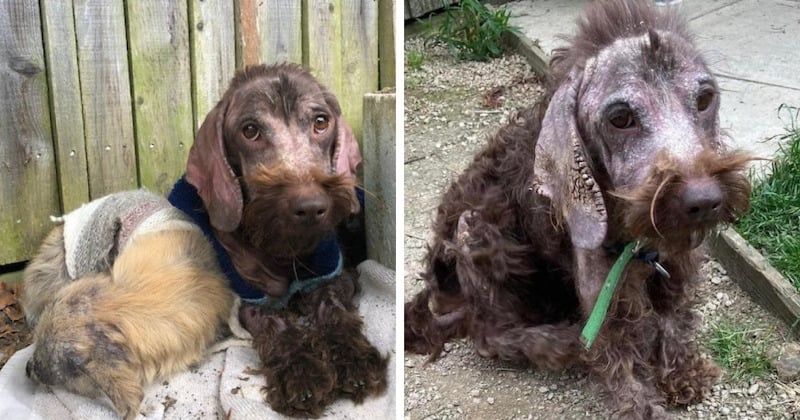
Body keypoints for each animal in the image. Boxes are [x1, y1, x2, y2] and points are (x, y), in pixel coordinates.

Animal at [170, 63, 390, 416]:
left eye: (320, 122)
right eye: (250, 130)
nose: (311, 206)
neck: (286, 247)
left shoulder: (336, 275)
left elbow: (334, 311)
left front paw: (353, 359)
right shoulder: (251, 302)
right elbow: (279, 329)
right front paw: (300, 374)